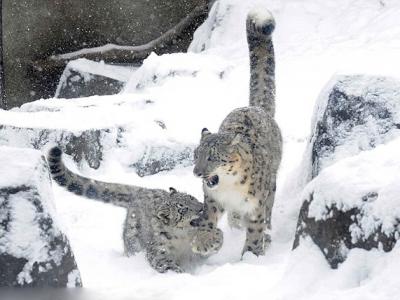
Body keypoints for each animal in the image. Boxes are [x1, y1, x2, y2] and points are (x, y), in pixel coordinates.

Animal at [47, 146, 223, 274]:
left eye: (192, 198)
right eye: (183, 210)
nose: (201, 208)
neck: (183, 239)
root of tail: (141, 191)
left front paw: (214, 240)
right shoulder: (158, 250)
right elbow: (163, 262)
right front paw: (178, 273)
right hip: (133, 241)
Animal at [191, 8, 282, 256]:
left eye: (212, 157)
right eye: (196, 155)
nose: (197, 173)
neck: (228, 187)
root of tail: (255, 107)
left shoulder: (255, 206)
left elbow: (255, 230)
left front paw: (251, 254)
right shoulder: (212, 199)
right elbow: (208, 219)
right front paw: (203, 241)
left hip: (271, 186)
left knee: (268, 212)